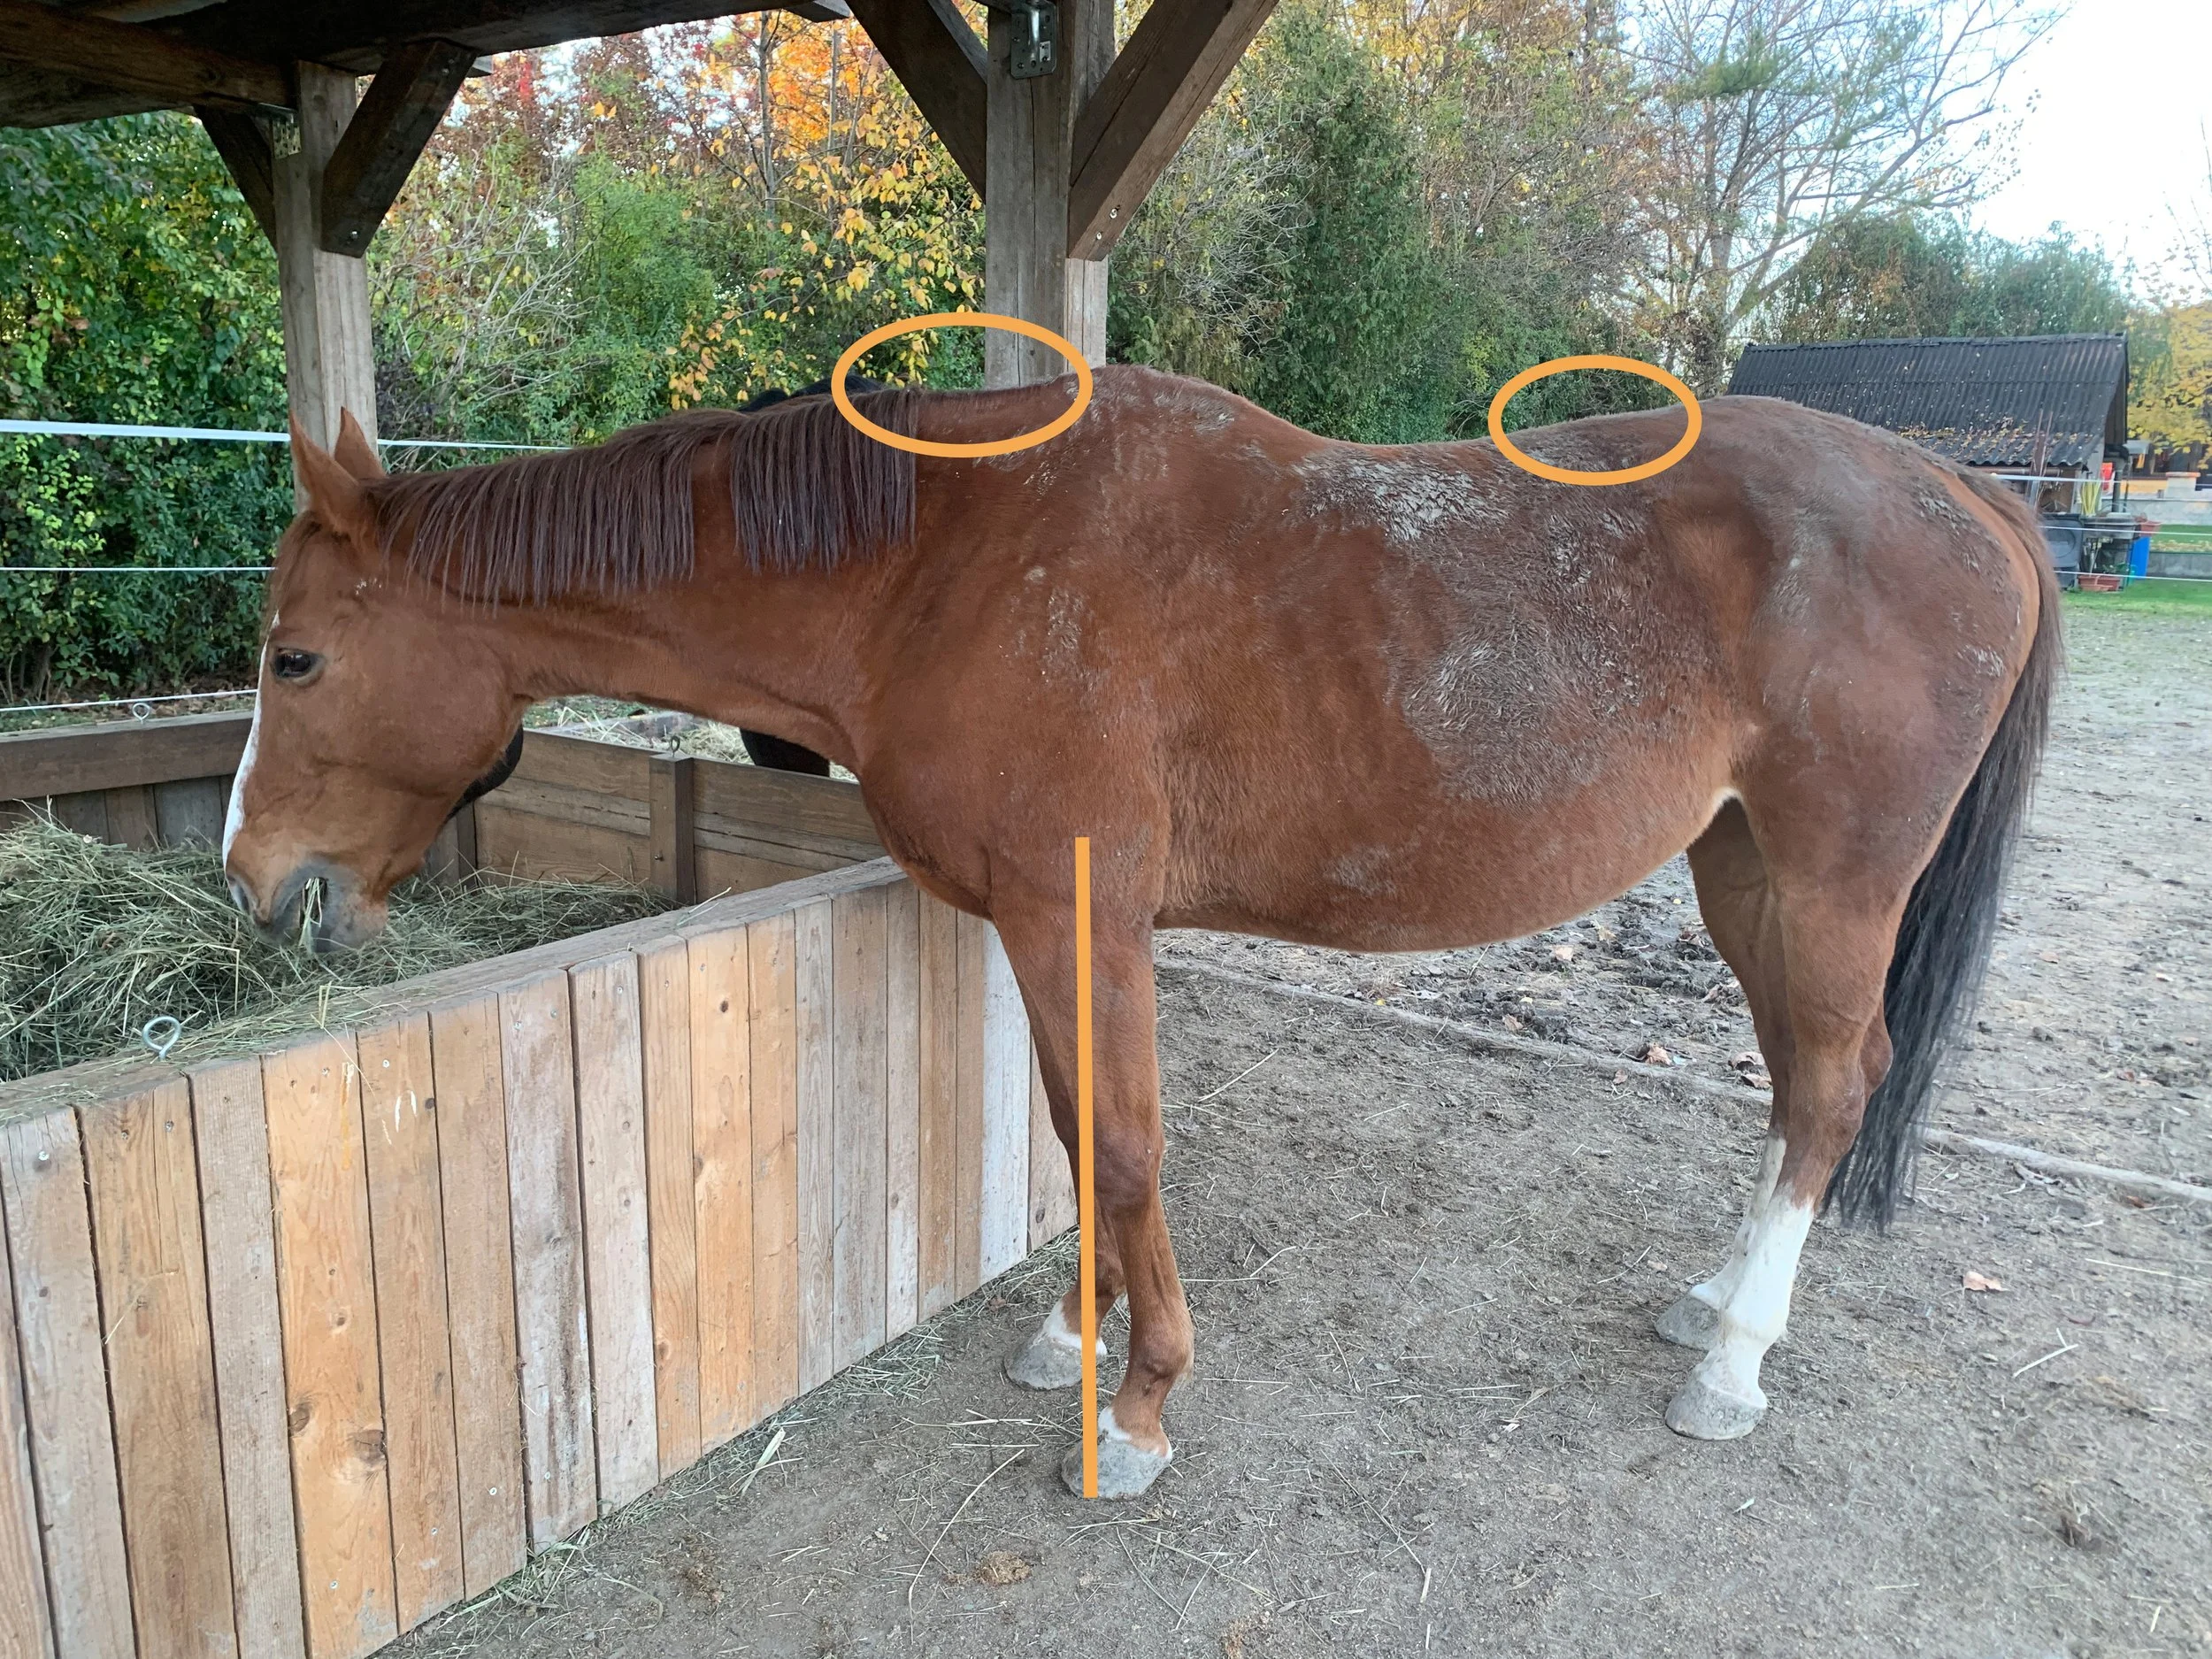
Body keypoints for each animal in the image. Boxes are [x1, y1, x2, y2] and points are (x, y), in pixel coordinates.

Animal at [223, 366, 2058, 1499]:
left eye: (296, 658)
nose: (258, 886)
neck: (943, 566)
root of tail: (1965, 496)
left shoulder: (1077, 915)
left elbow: (1118, 1143)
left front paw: (1148, 1403)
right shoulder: (1042, 927)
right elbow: (1069, 1131)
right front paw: (1071, 1336)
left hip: (1828, 884)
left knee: (1830, 1086)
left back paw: (1733, 1364)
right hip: (1742, 873)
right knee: (1803, 1087)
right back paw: (1714, 1300)